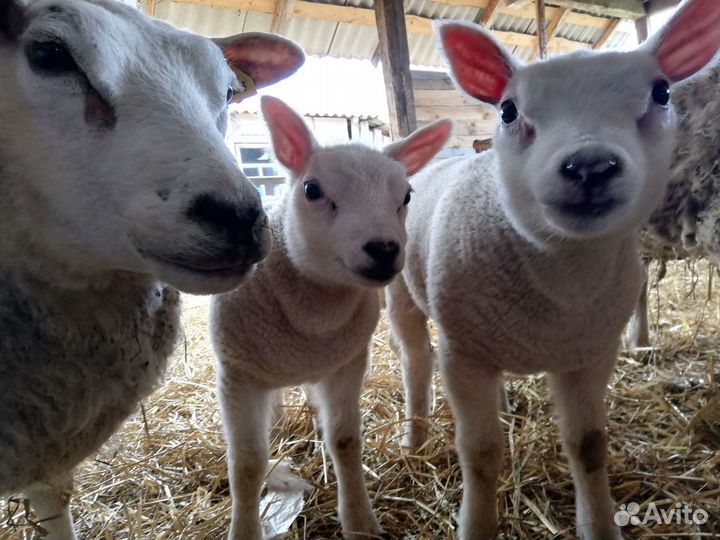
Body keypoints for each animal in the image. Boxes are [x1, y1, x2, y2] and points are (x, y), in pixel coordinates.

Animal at [210, 96, 451, 540]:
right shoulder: (237, 376)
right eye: (312, 189)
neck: (311, 316)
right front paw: (245, 528)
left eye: (407, 196)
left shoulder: (346, 363)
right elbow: (247, 464)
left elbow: (345, 441)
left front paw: (359, 520)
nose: (383, 248)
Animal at [384, 1, 720, 539]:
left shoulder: (589, 354)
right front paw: (476, 523)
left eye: (662, 92)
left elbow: (589, 448)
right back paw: (414, 439)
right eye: (508, 110)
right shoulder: (463, 357)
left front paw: (599, 525)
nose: (589, 166)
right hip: (404, 296)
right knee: (415, 360)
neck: (561, 282)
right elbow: (480, 453)